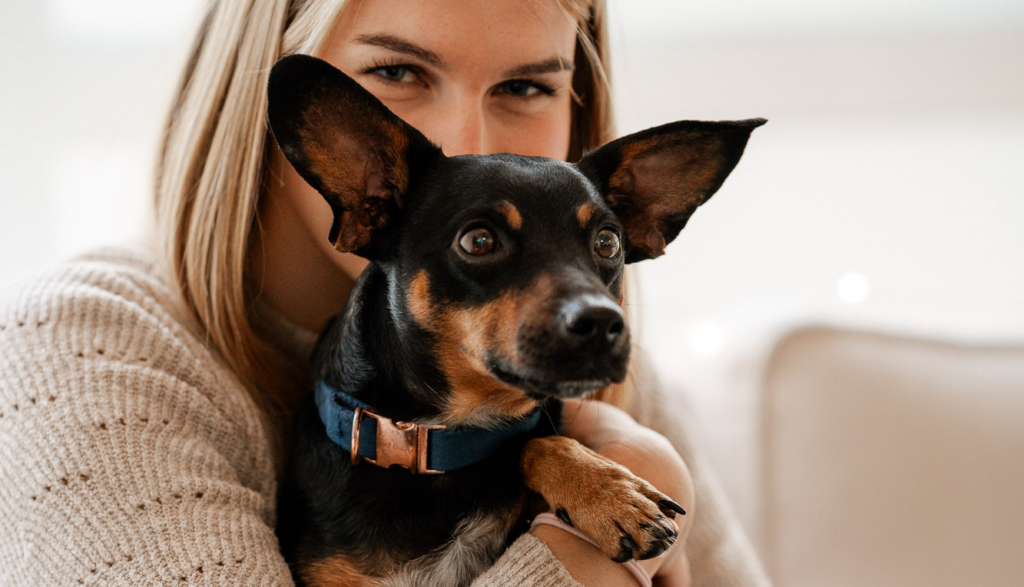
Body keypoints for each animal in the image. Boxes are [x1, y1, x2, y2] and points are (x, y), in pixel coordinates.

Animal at [268, 54, 765, 585]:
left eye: (608, 242)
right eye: (478, 241)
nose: (604, 324)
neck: (437, 444)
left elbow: (535, 442)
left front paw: (608, 491)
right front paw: (609, 492)